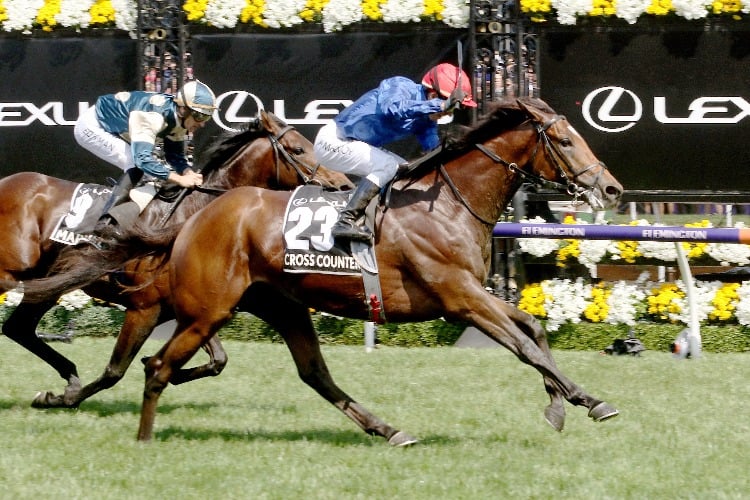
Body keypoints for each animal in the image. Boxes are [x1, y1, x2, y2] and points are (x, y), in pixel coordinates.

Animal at [0, 111, 352, 408]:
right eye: (299, 149)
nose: (343, 184)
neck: (194, 214)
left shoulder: (193, 306)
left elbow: (217, 360)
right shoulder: (144, 307)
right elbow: (115, 370)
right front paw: (63, 399)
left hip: (47, 282)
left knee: (18, 328)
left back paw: (70, 376)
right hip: (11, 274)